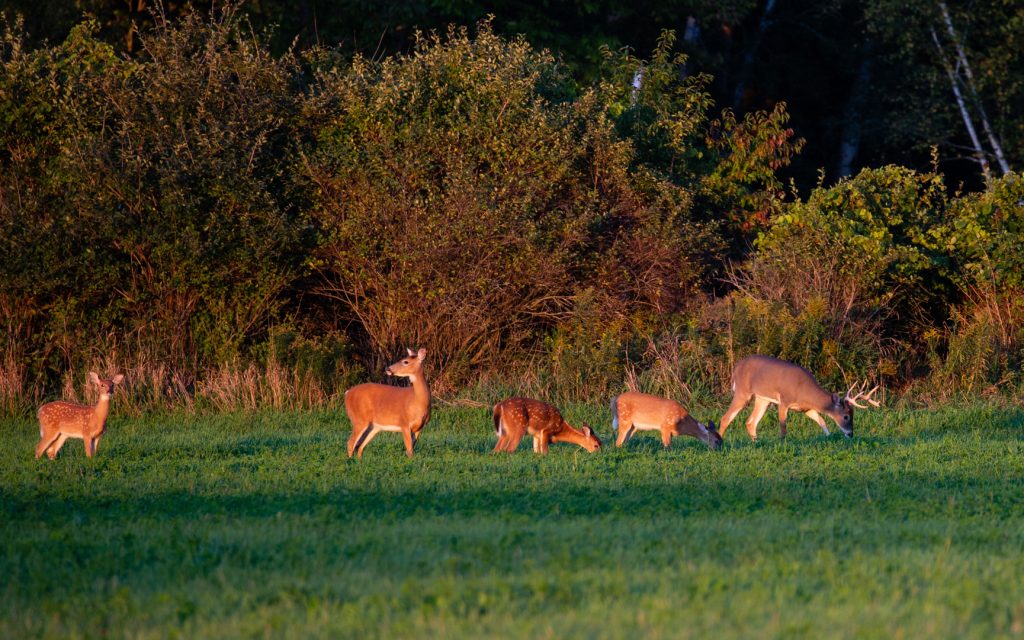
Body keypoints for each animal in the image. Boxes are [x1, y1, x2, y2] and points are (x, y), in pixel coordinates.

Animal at [720, 354, 880, 438]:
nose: (851, 434)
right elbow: (783, 427)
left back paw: (756, 442)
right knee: (725, 418)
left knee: (750, 422)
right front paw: (783, 443)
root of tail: (736, 367)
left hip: (762, 398)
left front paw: (828, 436)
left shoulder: (806, 408)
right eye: (846, 416)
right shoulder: (784, 401)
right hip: (743, 392)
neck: (804, 390)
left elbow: (821, 420)